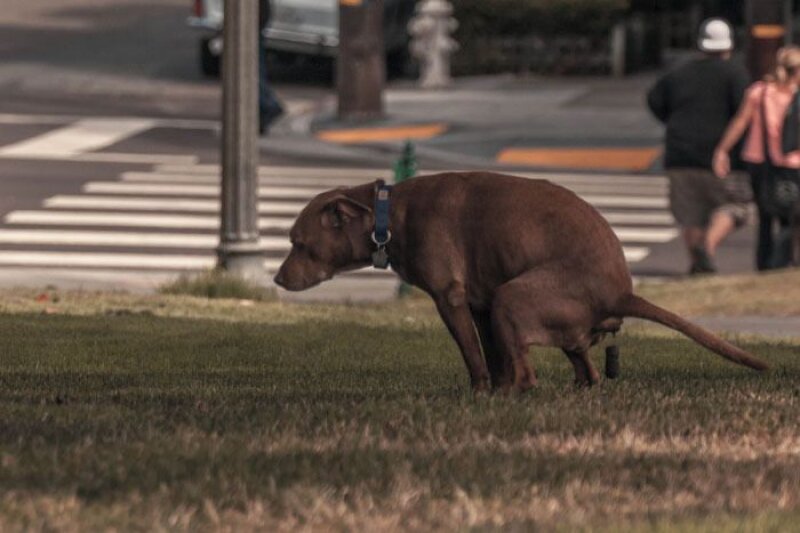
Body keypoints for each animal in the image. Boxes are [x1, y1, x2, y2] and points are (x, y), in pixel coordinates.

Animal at [276, 172, 768, 392]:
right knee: (584, 370)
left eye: (299, 243)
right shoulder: (479, 305)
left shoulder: (451, 300)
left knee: (530, 375)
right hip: (514, 308)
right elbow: (493, 356)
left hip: (512, 298)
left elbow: (474, 356)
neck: (387, 215)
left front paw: (480, 394)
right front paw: (492, 390)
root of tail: (622, 290)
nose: (278, 278)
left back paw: (519, 393)